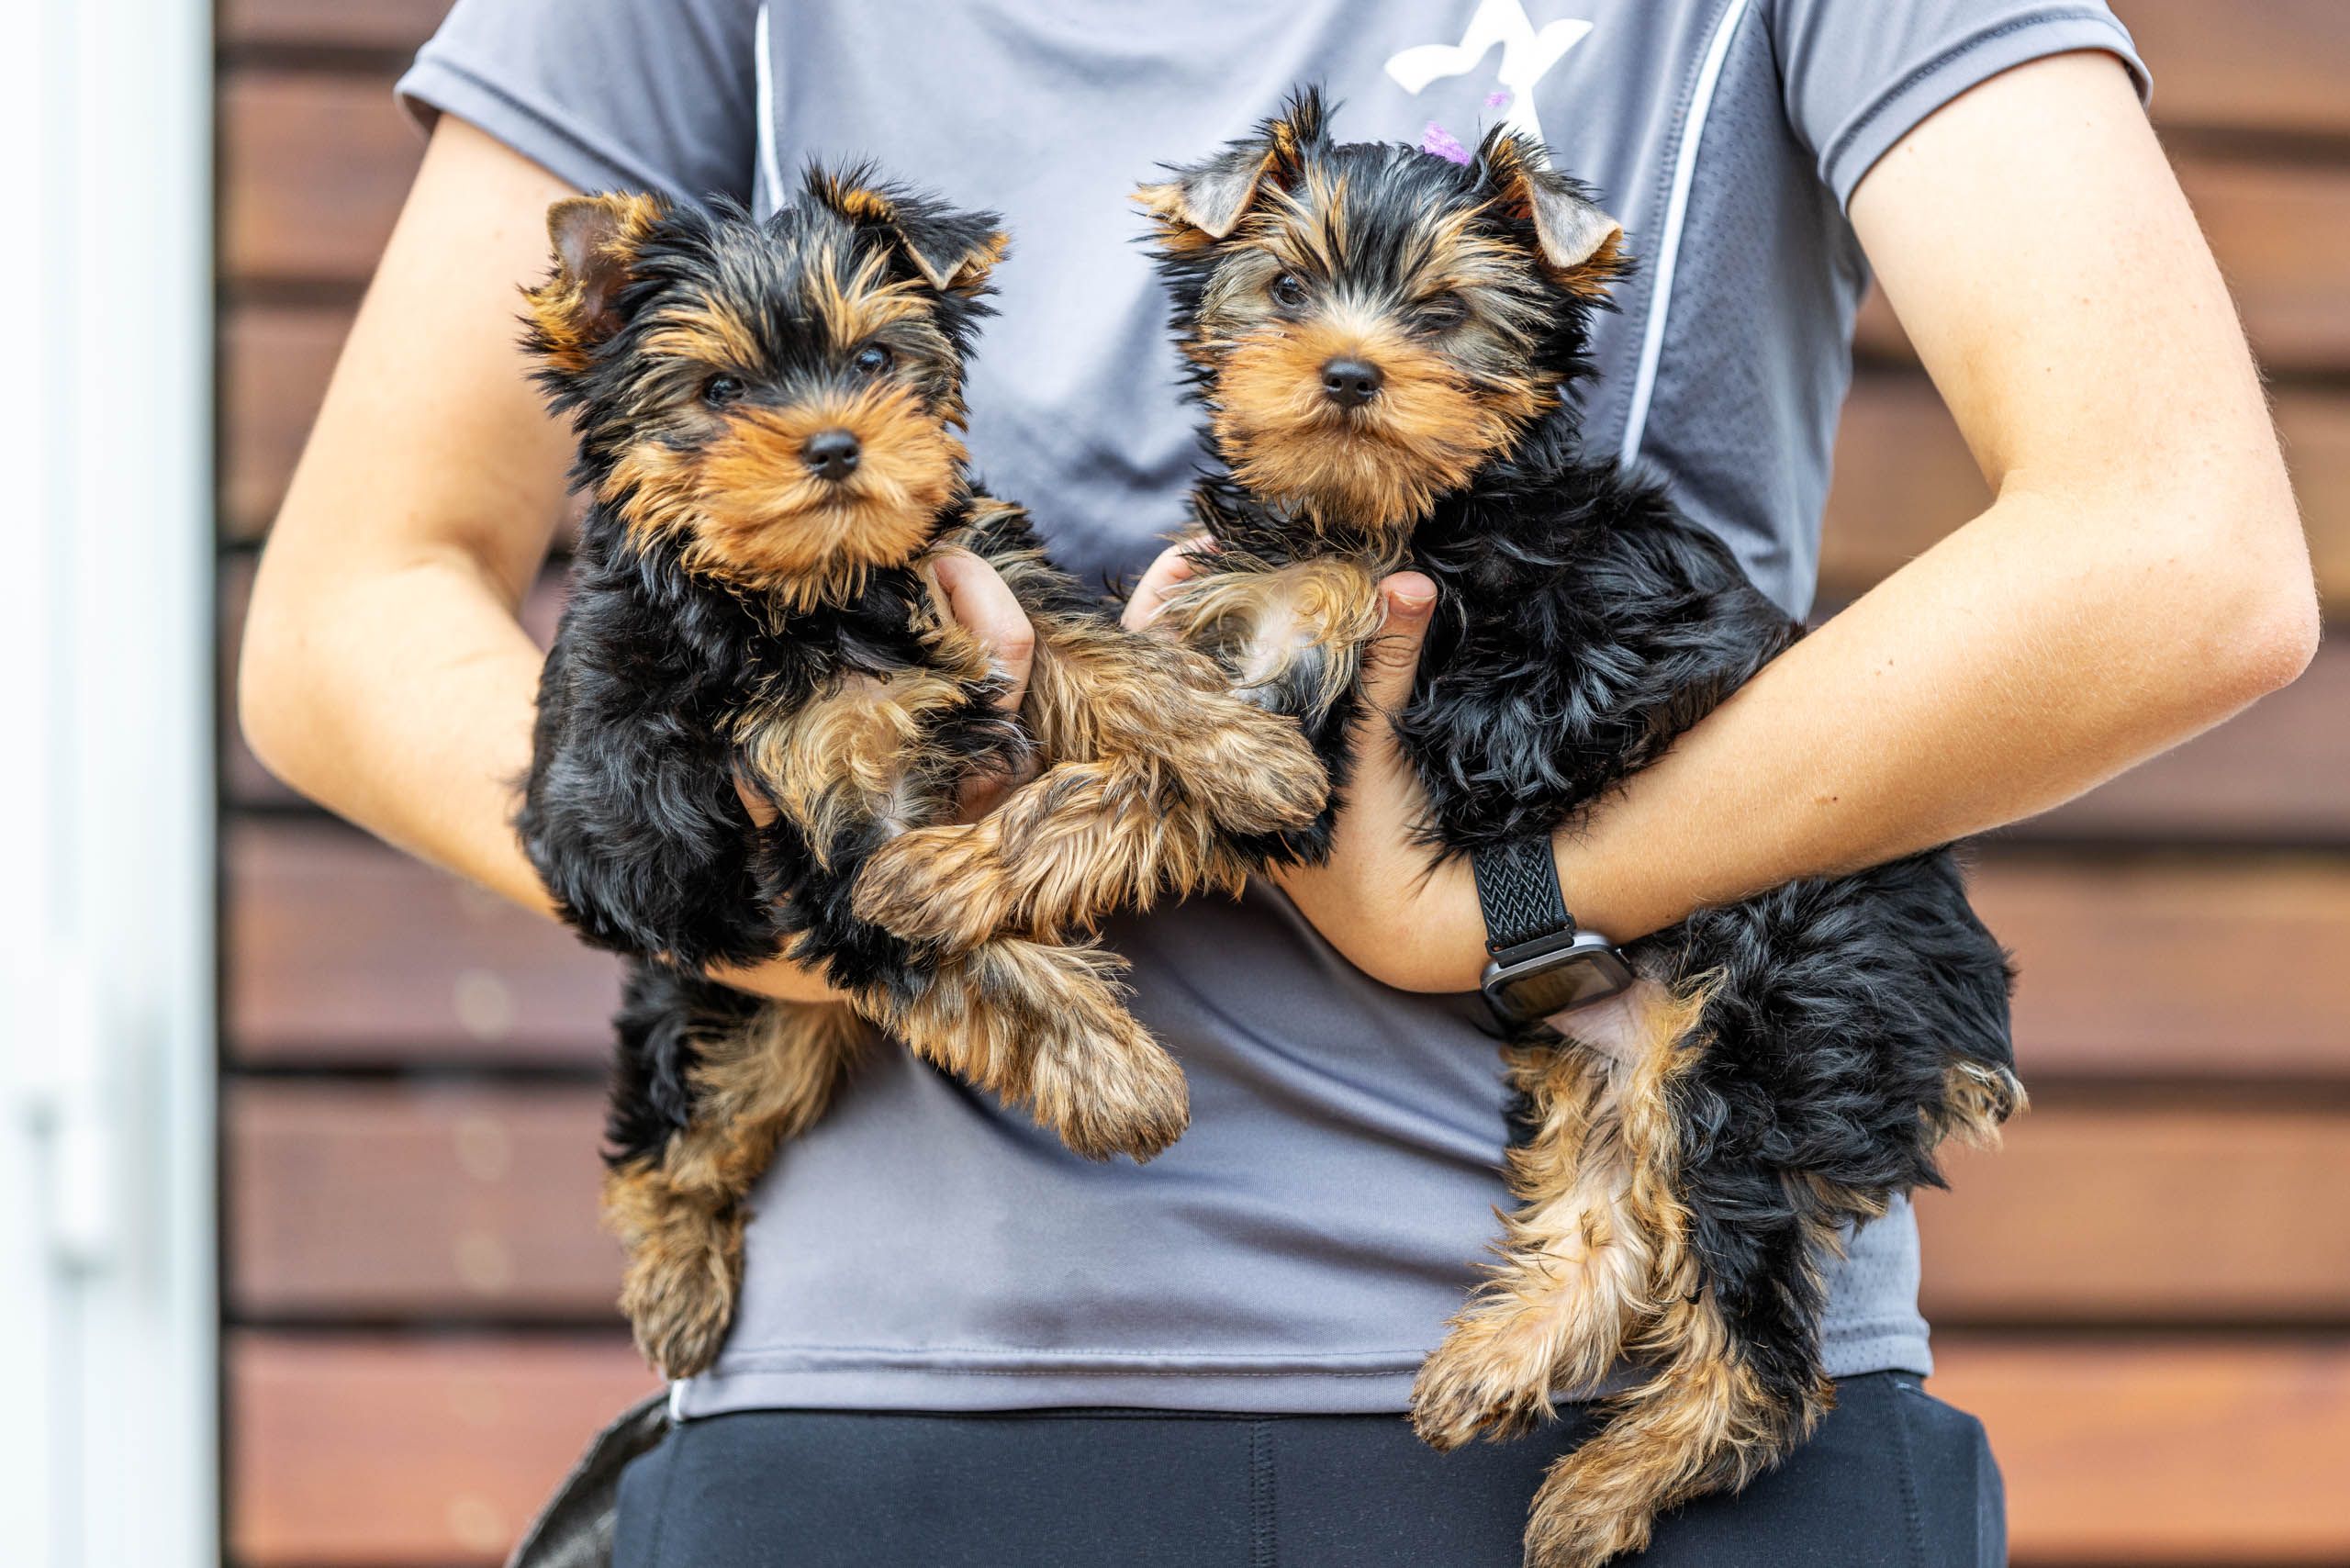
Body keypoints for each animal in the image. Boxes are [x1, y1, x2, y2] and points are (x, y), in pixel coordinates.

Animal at [512, 165, 1325, 1382]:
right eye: (718, 390)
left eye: (870, 362)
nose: (834, 446)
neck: (826, 593)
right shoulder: (812, 815)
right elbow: (979, 959)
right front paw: (1124, 1081)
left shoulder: (986, 574)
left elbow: (1119, 664)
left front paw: (1247, 755)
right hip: (719, 993)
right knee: (685, 1128)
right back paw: (676, 1278)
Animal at [1123, 92, 2020, 1561]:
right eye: (1289, 288)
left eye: (1441, 314)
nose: (1349, 375)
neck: (1406, 503)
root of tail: (1959, 1012)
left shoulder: (1406, 637)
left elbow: (1249, 711)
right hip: (1616, 1048)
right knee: (1612, 1214)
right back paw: (1505, 1364)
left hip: (1757, 1046)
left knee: (1756, 1343)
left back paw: (1608, 1487)